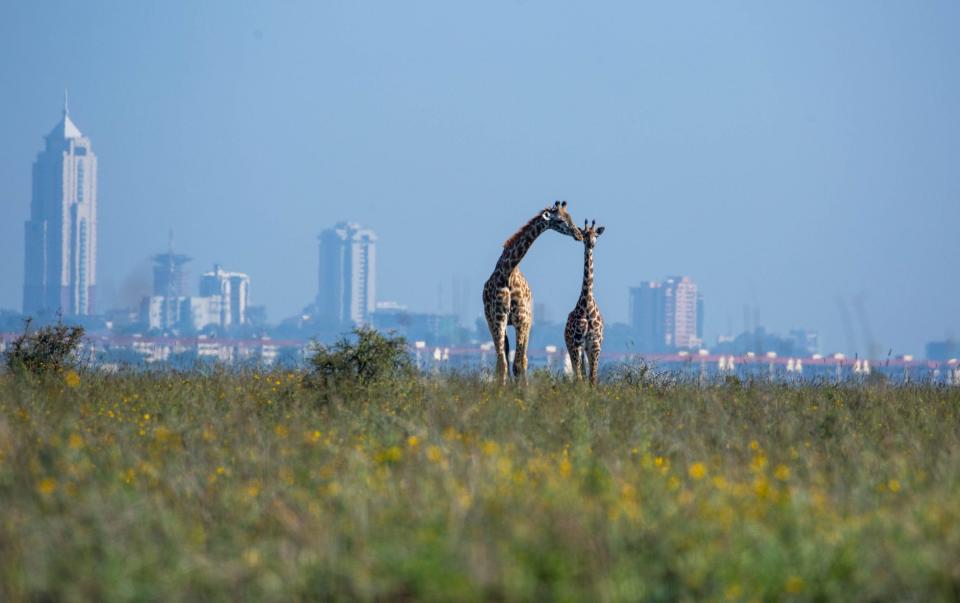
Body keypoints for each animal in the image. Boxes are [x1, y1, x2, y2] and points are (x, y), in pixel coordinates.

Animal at [484, 201, 580, 384]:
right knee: (507, 357)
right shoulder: (498, 319)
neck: (507, 272)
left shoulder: (522, 320)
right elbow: (502, 364)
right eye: (560, 220)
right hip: (496, 323)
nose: (579, 234)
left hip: (527, 322)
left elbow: (518, 364)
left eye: (571, 217)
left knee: (523, 359)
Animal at [564, 222, 608, 386]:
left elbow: (592, 378)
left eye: (596, 235)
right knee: (578, 372)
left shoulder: (594, 344)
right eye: (584, 234)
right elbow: (580, 377)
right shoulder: (577, 343)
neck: (587, 304)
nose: (590, 244)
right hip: (571, 346)